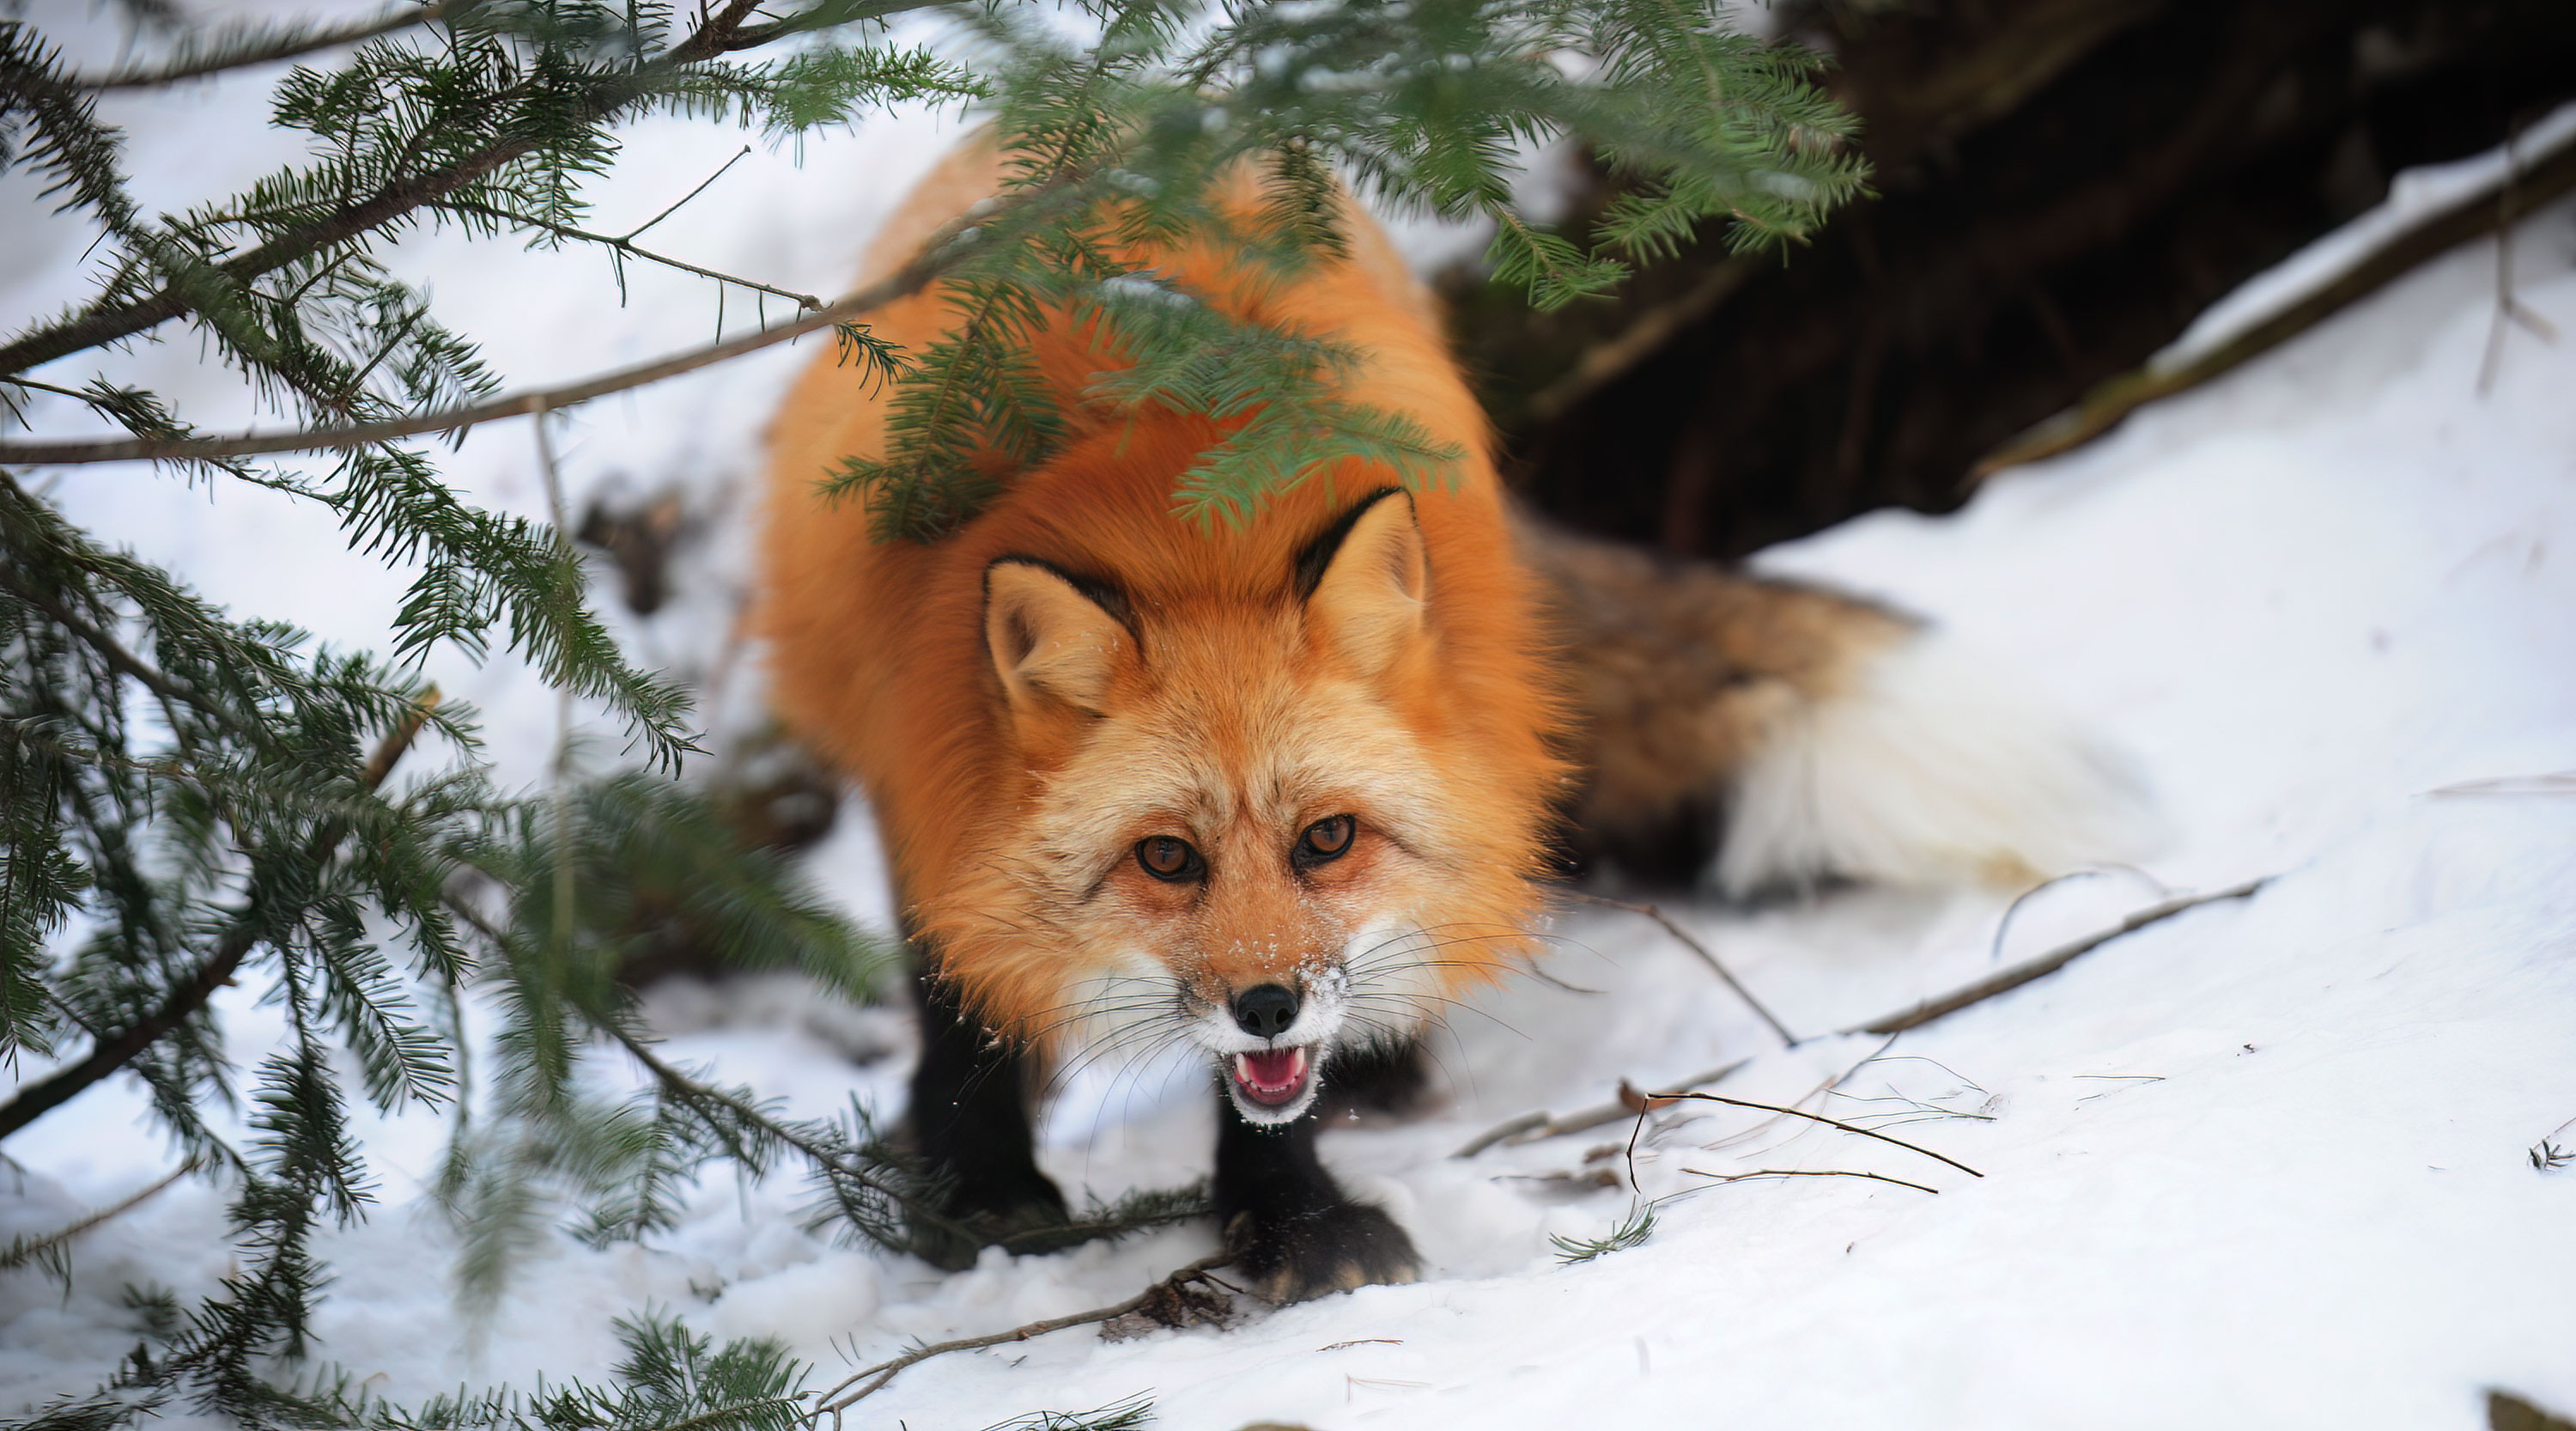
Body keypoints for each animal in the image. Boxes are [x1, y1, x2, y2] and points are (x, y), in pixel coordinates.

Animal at [759, 141, 2143, 1300]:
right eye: (1165, 857)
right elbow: (952, 990)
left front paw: (1292, 1217)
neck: (1181, 508)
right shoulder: (920, 772)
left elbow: (1275, 1099)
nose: (1267, 1006)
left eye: (1327, 838)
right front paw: (979, 1190)